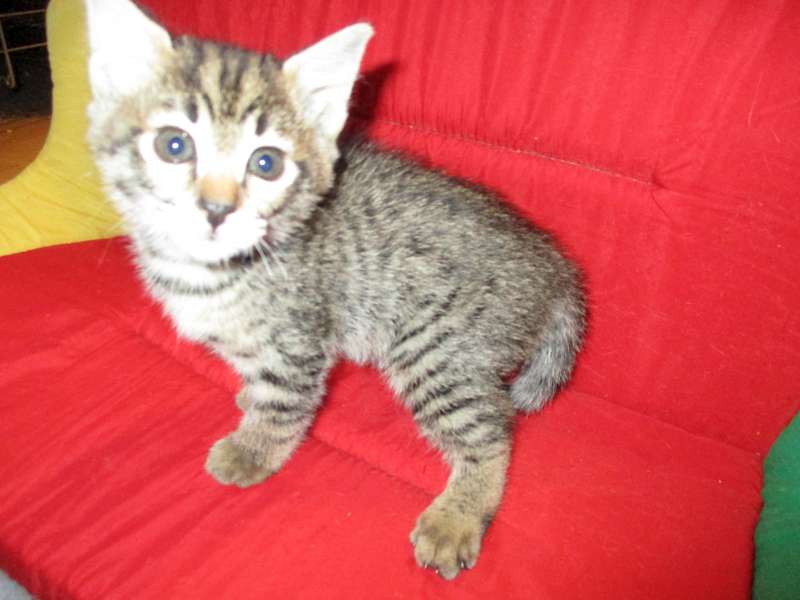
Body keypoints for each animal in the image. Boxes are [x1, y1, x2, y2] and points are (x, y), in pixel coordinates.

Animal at [84, 0, 585, 580]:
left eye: (266, 163)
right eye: (174, 145)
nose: (216, 208)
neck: (209, 271)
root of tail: (552, 262)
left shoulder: (298, 337)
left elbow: (283, 400)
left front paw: (255, 448)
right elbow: (254, 373)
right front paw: (248, 397)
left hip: (434, 347)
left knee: (492, 429)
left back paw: (457, 514)